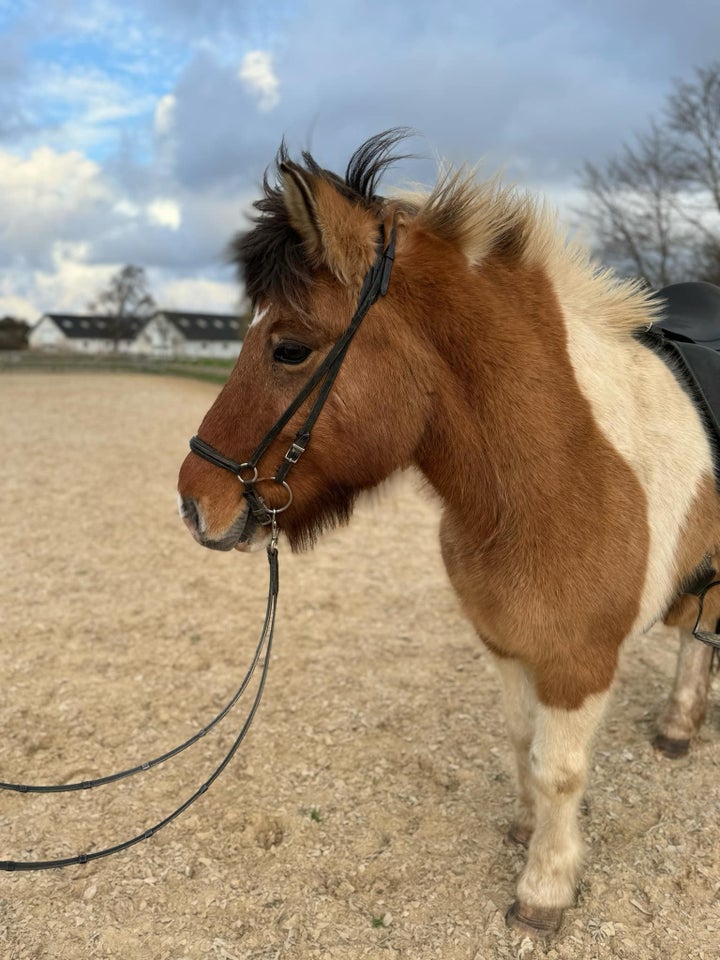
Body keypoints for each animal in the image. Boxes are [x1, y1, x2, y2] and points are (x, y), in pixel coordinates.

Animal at [176, 131, 720, 932]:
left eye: (289, 348)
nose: (194, 500)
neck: (556, 473)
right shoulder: (507, 644)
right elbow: (523, 743)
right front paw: (525, 832)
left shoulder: (579, 664)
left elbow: (558, 770)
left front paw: (544, 890)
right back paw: (680, 727)